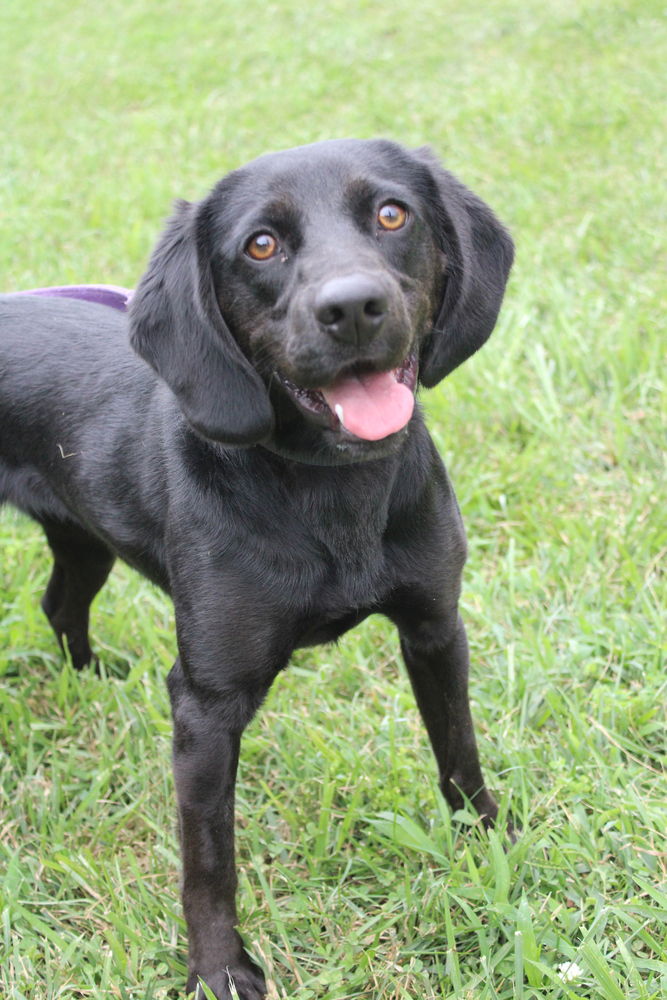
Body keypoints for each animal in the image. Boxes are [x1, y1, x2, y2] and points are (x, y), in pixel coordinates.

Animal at [0, 137, 516, 996]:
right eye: (261, 245)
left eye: (391, 213)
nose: (352, 307)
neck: (331, 491)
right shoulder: (207, 705)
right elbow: (209, 860)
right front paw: (218, 968)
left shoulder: (435, 630)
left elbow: (458, 751)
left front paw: (487, 846)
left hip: (85, 536)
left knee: (60, 603)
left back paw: (92, 678)